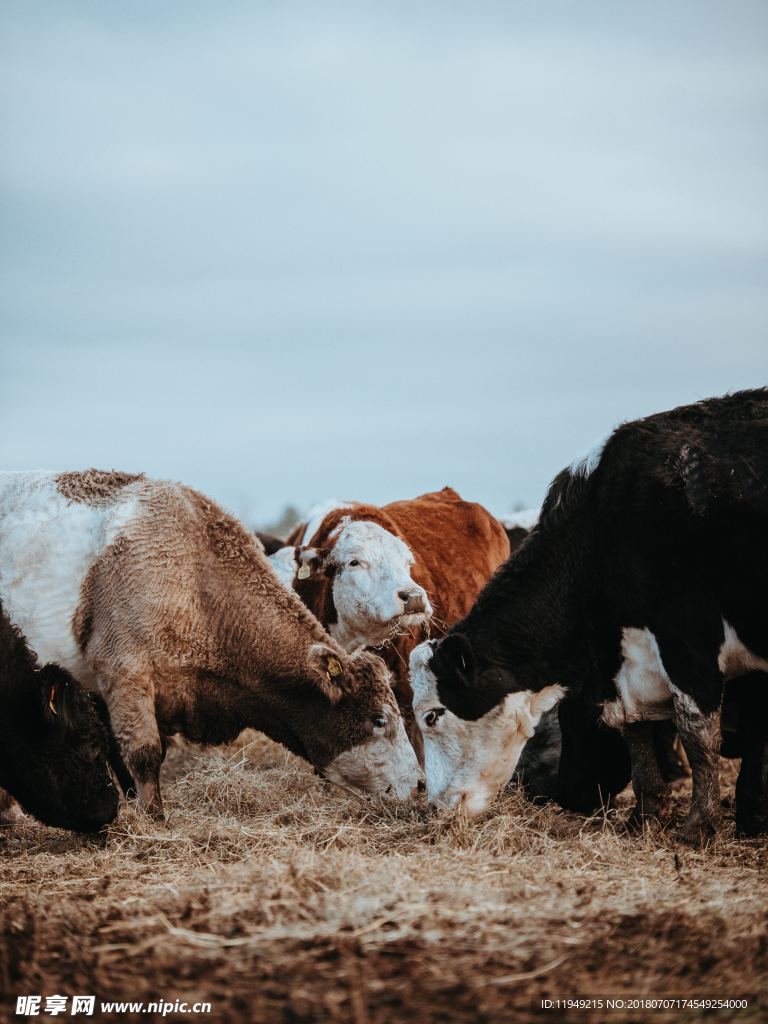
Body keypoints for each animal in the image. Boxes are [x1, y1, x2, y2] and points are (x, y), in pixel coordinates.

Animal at [415, 387, 768, 843]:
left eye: (432, 715)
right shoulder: (623, 666)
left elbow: (699, 735)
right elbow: (636, 731)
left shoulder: (689, 638)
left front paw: (700, 826)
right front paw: (645, 817)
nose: (435, 807)